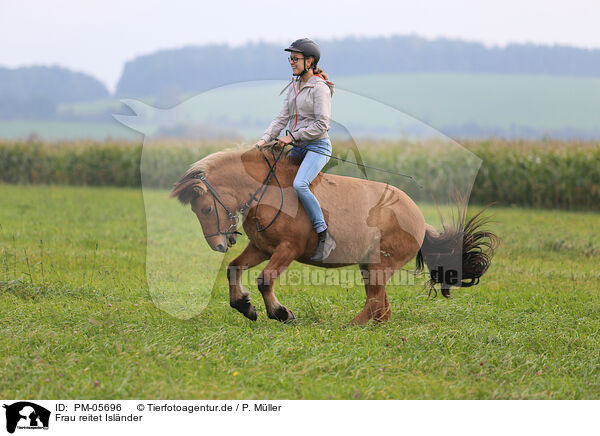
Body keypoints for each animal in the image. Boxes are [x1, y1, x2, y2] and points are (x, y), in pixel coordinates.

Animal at [169, 142, 496, 324]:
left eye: (206, 209)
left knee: (376, 302)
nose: (218, 244)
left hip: (380, 265)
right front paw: (244, 306)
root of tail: (417, 217)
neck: (268, 191)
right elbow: (234, 269)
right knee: (381, 306)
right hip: (369, 266)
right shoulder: (262, 248)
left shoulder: (287, 249)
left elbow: (264, 280)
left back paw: (350, 326)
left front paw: (280, 313)